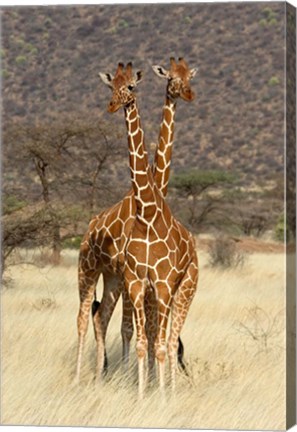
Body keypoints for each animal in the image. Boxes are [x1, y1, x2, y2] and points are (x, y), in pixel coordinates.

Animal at [75, 58, 195, 384]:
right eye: (171, 79)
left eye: (188, 78)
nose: (187, 94)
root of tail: (89, 228)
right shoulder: (135, 278)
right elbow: (133, 329)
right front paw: (136, 377)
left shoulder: (147, 282)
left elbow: (150, 331)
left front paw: (148, 379)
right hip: (88, 269)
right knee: (83, 317)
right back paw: (82, 378)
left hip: (111, 277)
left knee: (100, 316)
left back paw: (100, 375)